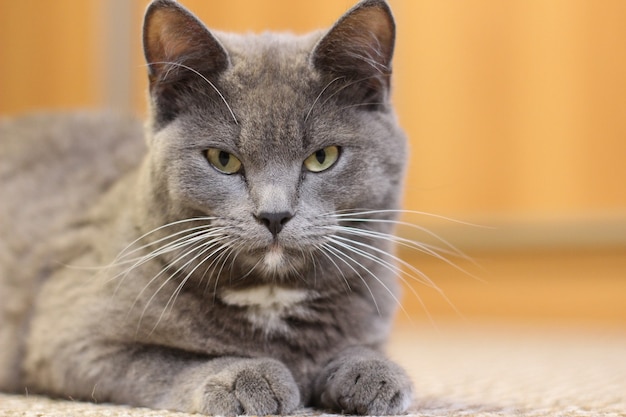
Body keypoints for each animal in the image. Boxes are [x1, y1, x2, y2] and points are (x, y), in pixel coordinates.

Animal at [1, 0, 414, 412]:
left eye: (323, 157)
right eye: (223, 159)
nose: (274, 214)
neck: (271, 297)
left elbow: (361, 348)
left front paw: (374, 373)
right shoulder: (70, 341)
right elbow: (168, 361)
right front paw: (248, 377)